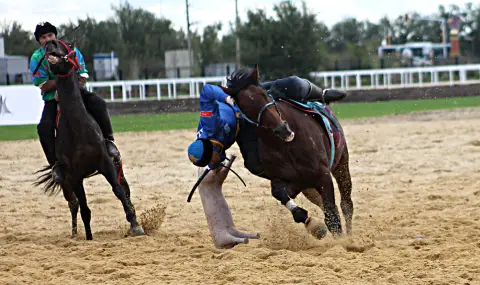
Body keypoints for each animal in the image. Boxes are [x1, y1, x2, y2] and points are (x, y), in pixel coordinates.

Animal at [34, 38, 144, 239]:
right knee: (73, 204)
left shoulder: (105, 163)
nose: (51, 43)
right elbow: (84, 207)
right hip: (65, 183)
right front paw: (89, 236)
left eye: (68, 46)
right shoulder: (74, 176)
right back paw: (73, 232)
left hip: (117, 168)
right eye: (47, 43)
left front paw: (135, 226)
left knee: (125, 191)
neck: (78, 129)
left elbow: (119, 191)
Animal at [221, 65, 352, 236]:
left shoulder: (323, 175)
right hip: (308, 187)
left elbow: (332, 215)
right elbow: (279, 193)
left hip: (341, 162)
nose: (283, 129)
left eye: (265, 96)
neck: (287, 146)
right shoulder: (290, 181)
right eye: (246, 108)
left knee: (346, 204)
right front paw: (311, 224)